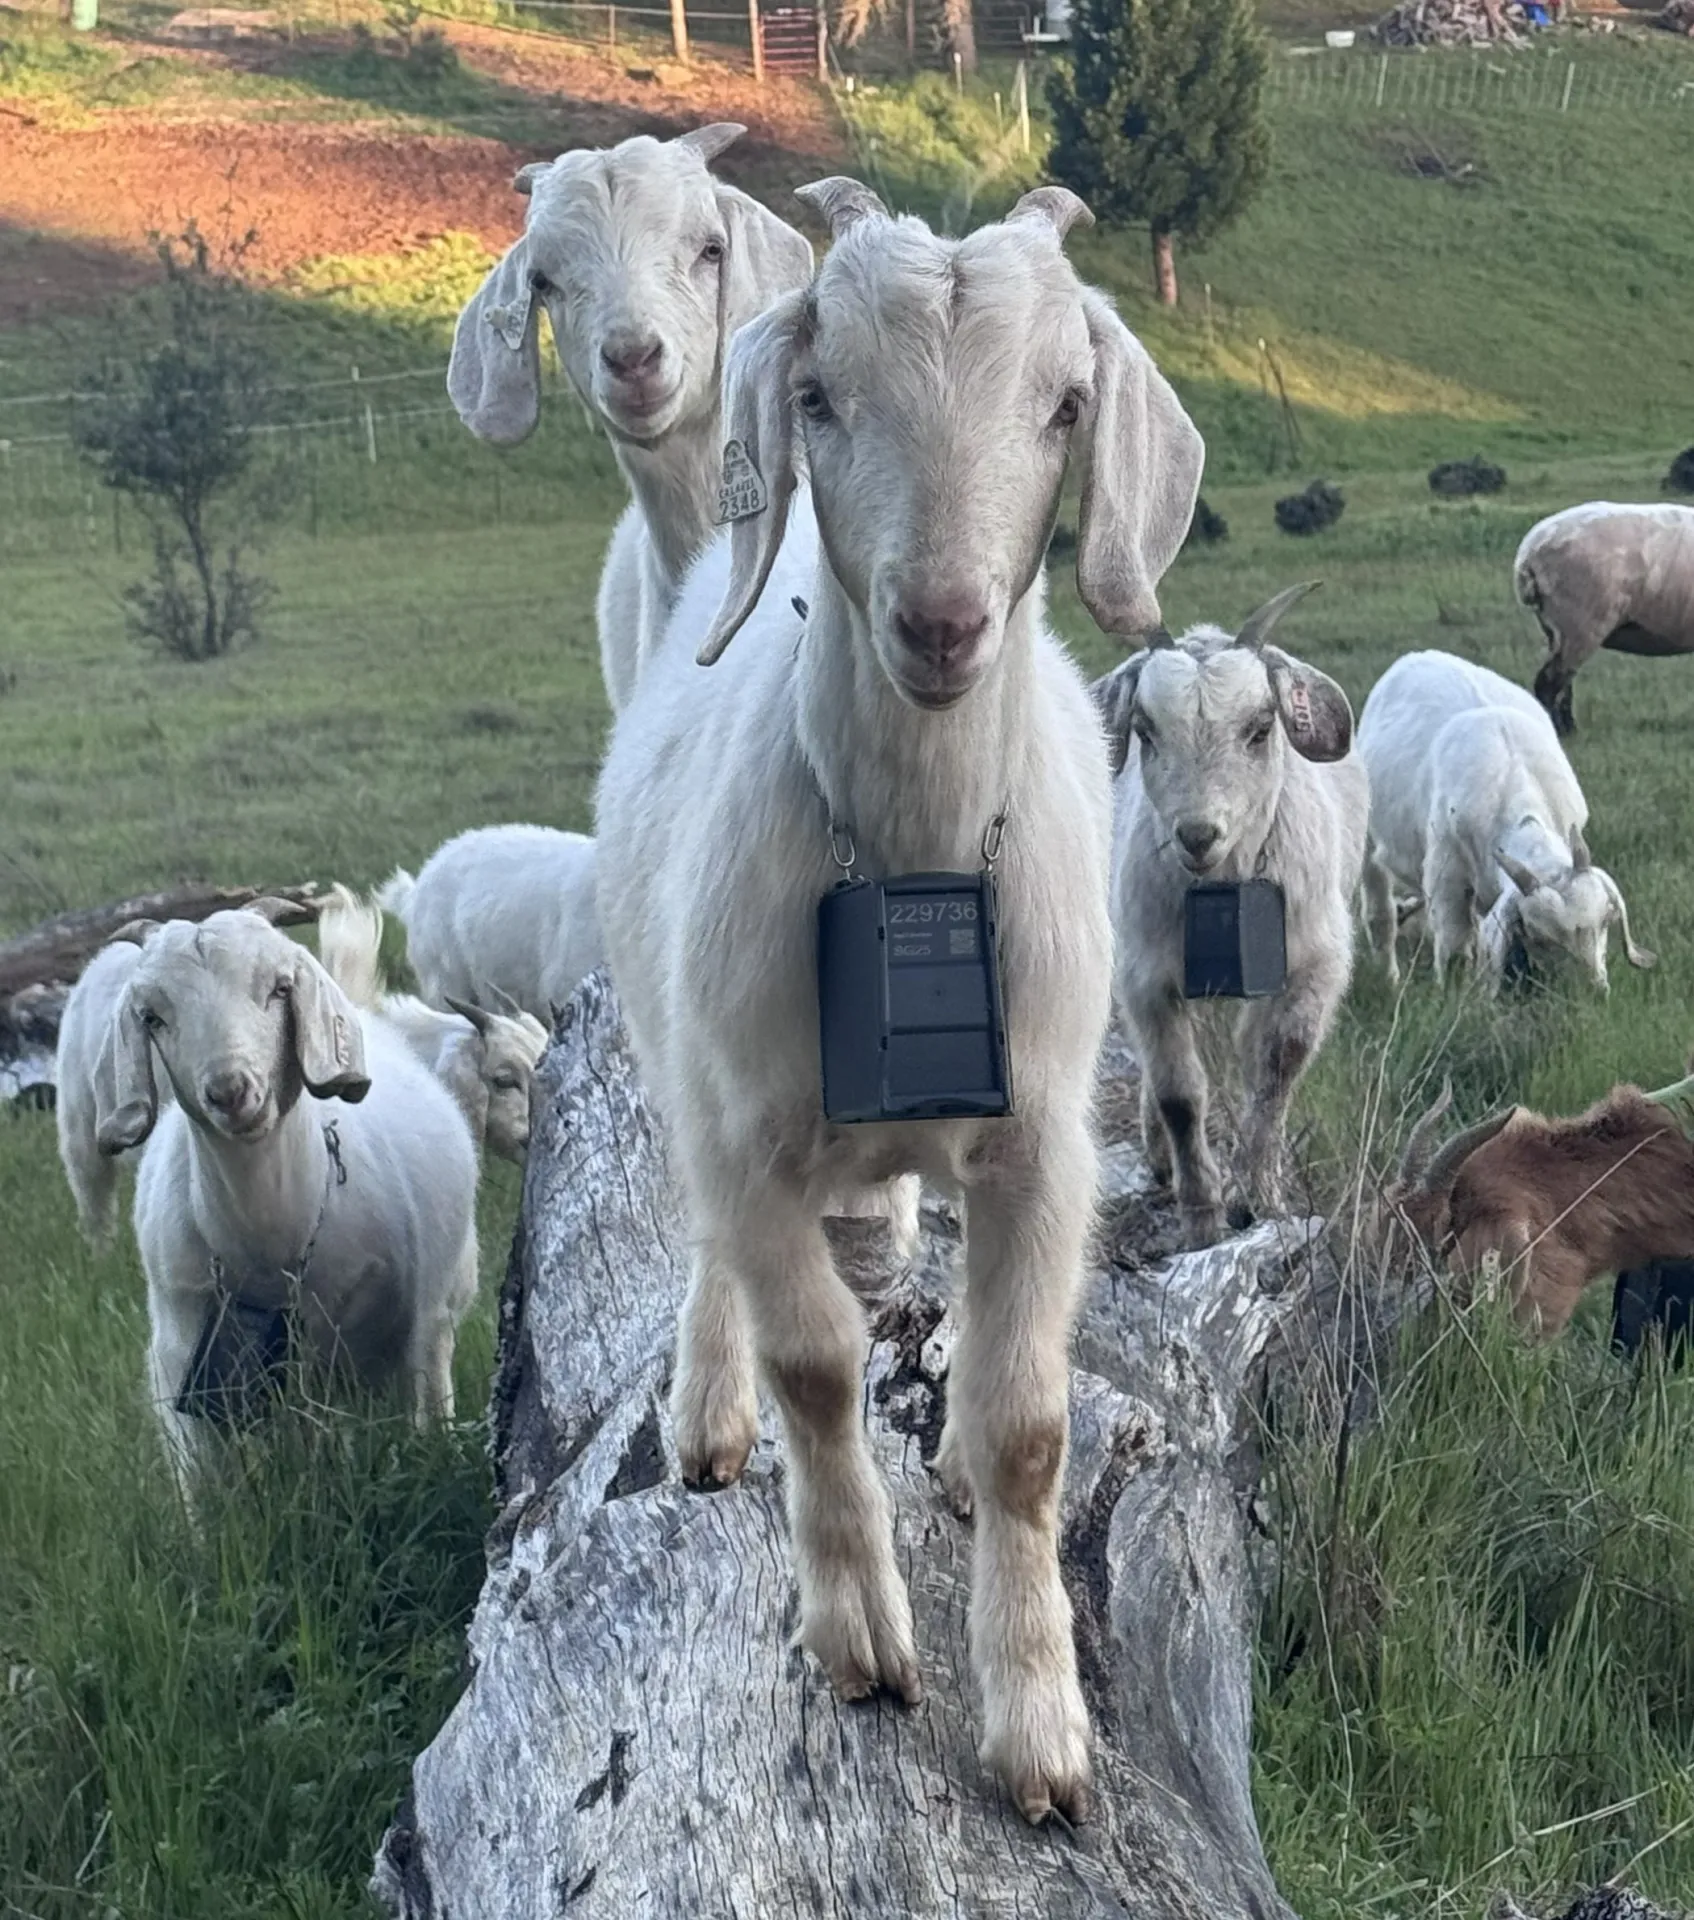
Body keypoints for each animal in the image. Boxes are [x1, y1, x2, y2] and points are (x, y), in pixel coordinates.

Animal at [94, 909, 479, 1497]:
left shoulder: (382, 1333)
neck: (268, 1252)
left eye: (279, 989)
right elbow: (204, 1479)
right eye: (152, 1017)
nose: (230, 1091)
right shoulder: (182, 1347)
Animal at [594, 178, 1203, 1822]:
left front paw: (1041, 1729)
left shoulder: (1043, 1143)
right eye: (820, 397)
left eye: (1064, 404)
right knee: (719, 1255)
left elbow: (1025, 1422)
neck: (913, 855)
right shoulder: (744, 1124)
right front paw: (861, 1635)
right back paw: (706, 1413)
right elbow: (813, 1363)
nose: (938, 624)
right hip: (673, 1049)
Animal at [1091, 584, 1366, 1248]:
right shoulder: (1146, 976)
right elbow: (1179, 1093)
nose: (1197, 834)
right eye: (1145, 730)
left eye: (1260, 727)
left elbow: (1274, 1067)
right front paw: (1202, 1215)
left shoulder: (1312, 965)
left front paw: (1261, 1196)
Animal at [1358, 649, 1653, 991]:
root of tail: (1420, 655)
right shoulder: (1446, 870)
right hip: (1369, 840)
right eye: (1540, 935)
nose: (1594, 992)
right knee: (1380, 913)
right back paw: (1389, 977)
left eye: (1607, 919)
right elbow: (1453, 944)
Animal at [1515, 501, 1694, 734]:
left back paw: (1570, 728)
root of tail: (1529, 554)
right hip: (1581, 621)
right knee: (1548, 683)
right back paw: (1560, 732)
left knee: (1563, 684)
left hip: (1558, 627)